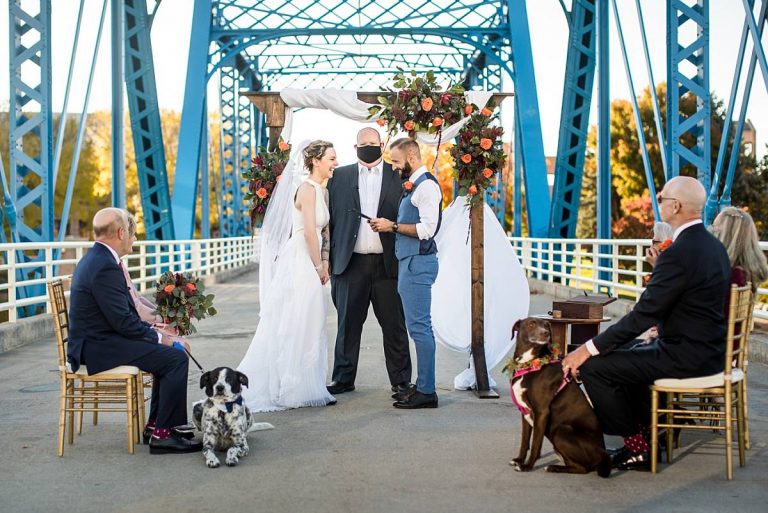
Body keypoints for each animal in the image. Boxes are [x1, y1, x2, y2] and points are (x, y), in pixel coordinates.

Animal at [508, 316, 608, 476]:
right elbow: (525, 441)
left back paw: (553, 467)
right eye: (531, 324)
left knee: (584, 469)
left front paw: (527, 466)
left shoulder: (541, 412)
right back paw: (554, 467)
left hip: (561, 431)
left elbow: (535, 443)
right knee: (579, 467)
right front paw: (519, 460)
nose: (546, 334)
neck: (530, 363)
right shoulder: (525, 412)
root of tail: (603, 453)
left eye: (546, 326)